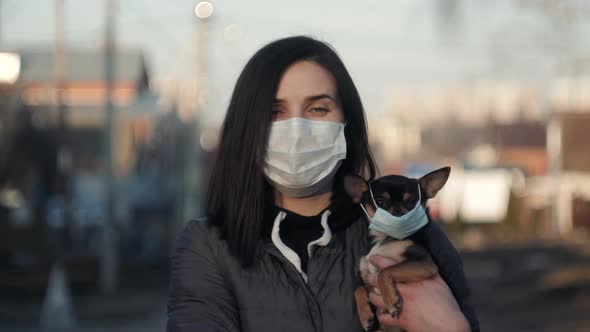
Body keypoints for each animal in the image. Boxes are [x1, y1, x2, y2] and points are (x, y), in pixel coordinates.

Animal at [344, 169, 450, 332]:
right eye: (380, 203)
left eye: (412, 202)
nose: (398, 210)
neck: (383, 239)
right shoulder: (368, 279)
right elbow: (358, 289)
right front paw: (366, 316)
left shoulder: (425, 263)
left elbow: (384, 271)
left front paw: (391, 301)